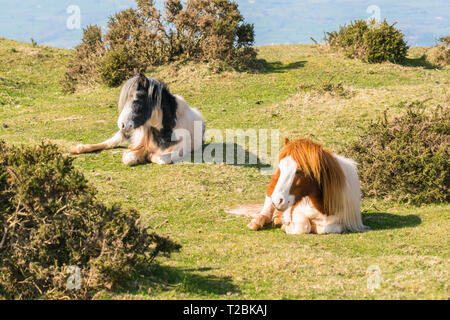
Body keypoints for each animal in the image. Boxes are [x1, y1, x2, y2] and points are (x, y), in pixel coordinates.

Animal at [70, 74, 206, 166]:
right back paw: (77, 148)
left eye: (137, 99)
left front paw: (147, 156)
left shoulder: (180, 150)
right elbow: (129, 157)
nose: (122, 125)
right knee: (109, 143)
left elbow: (161, 158)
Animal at [227, 138, 368, 235]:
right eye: (281, 168)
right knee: (266, 212)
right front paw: (287, 226)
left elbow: (329, 228)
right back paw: (258, 222)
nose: (278, 200)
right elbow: (303, 226)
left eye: (299, 171)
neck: (321, 206)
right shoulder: (296, 211)